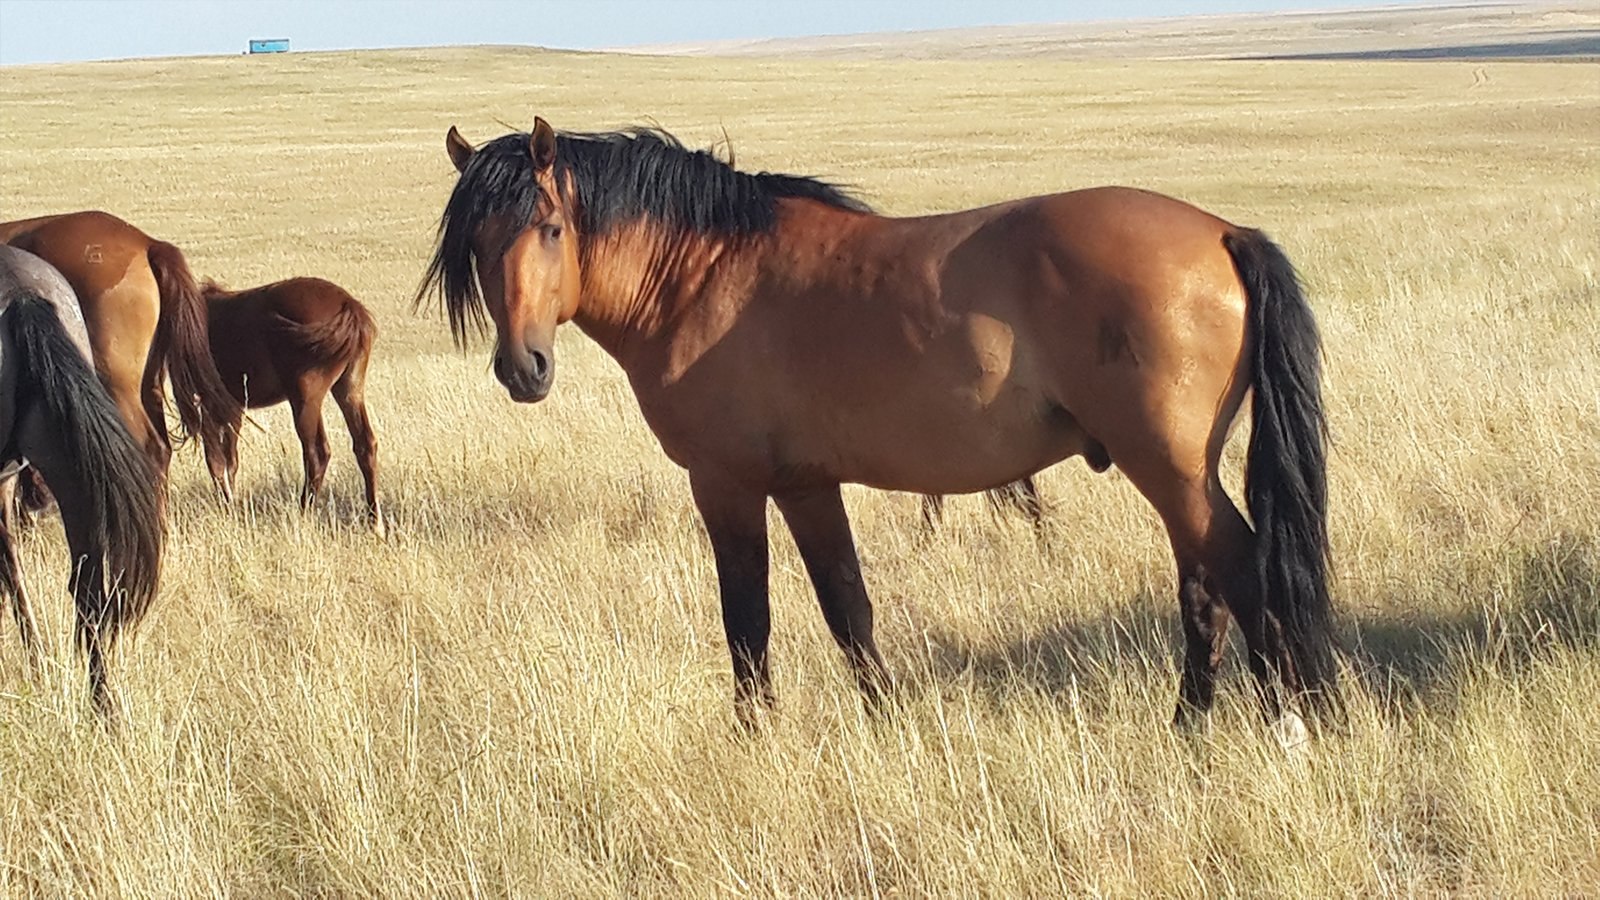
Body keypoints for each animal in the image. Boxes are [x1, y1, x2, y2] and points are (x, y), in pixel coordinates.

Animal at [198, 277, 382, 522]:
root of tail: (349, 305)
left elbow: (216, 459)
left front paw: (227, 506)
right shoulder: (233, 405)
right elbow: (230, 459)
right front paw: (232, 504)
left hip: (305, 397)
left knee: (317, 453)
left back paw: (304, 512)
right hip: (349, 389)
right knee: (365, 445)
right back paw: (375, 520)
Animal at [422, 120, 1337, 736]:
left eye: (549, 228)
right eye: (478, 242)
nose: (524, 368)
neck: (704, 275)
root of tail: (1222, 232)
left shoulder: (727, 485)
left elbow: (746, 618)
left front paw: (752, 735)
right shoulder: (806, 486)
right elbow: (847, 608)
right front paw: (885, 718)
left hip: (1171, 468)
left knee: (1240, 570)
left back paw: (1282, 723)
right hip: (1179, 473)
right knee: (1206, 586)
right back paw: (1191, 726)